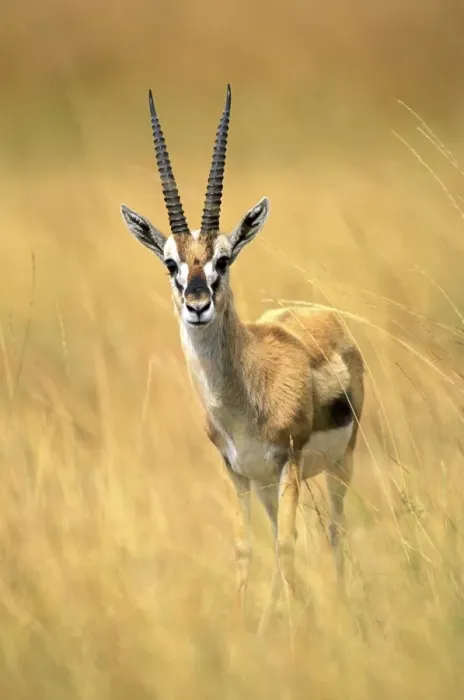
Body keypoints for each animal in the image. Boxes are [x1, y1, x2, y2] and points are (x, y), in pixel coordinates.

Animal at [120, 85, 365, 625]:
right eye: (170, 263)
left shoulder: (288, 462)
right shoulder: (238, 471)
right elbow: (247, 549)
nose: (197, 305)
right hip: (269, 484)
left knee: (334, 532)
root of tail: (323, 314)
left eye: (224, 258)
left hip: (339, 466)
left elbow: (289, 546)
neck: (244, 397)